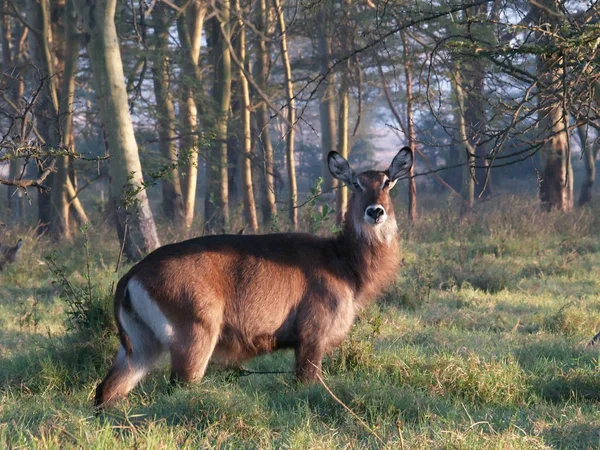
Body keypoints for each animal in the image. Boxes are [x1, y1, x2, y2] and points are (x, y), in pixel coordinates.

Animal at [95, 148, 412, 408]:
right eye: (356, 184)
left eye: (387, 182)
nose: (375, 211)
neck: (342, 262)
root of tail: (131, 275)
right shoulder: (312, 335)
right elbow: (307, 386)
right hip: (194, 336)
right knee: (177, 389)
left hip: (140, 346)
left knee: (107, 390)